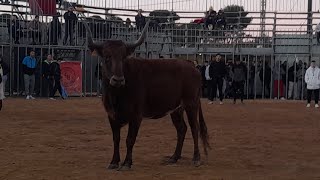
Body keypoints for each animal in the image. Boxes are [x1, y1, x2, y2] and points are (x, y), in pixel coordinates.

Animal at [84, 21, 211, 170]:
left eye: (123, 57)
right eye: (106, 56)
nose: (118, 80)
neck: (117, 94)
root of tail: (191, 65)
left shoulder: (136, 116)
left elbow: (130, 139)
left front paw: (127, 163)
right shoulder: (111, 115)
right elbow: (116, 139)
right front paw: (114, 162)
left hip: (191, 103)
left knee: (194, 128)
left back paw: (196, 158)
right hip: (176, 109)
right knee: (181, 129)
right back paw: (174, 157)